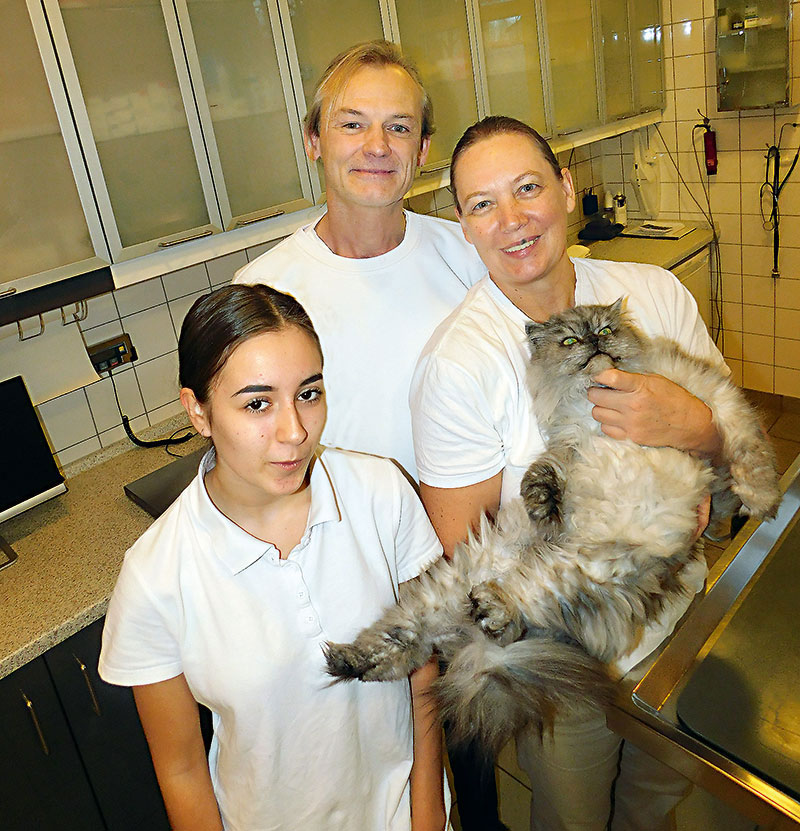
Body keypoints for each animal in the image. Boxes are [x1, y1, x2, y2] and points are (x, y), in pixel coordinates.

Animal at [322, 302, 780, 756]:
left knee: (473, 625)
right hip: (459, 583)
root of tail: (471, 633)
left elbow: (747, 454)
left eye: (605, 330)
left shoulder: (717, 400)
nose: (594, 341)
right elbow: (542, 474)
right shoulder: (568, 445)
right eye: (571, 340)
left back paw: (481, 609)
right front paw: (544, 508)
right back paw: (349, 658)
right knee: (408, 639)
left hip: (577, 574)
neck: (594, 401)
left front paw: (762, 501)